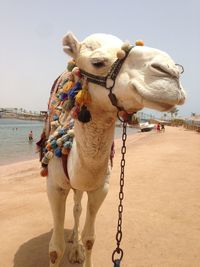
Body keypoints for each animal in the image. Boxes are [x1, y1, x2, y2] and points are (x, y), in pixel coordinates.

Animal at [44, 31, 186, 267]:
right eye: (97, 62)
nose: (171, 72)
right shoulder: (55, 186)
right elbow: (55, 249)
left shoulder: (101, 187)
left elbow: (90, 238)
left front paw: (81, 247)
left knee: (77, 208)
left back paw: (75, 245)